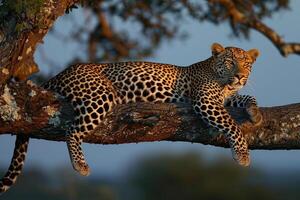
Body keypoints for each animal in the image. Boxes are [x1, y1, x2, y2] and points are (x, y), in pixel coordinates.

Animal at [0, 42, 262, 194]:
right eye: (229, 62)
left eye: (246, 64)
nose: (240, 76)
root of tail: (61, 73)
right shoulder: (205, 101)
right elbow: (232, 125)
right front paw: (242, 155)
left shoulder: (224, 98)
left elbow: (247, 96)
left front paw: (255, 113)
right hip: (100, 94)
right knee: (72, 130)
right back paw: (80, 165)